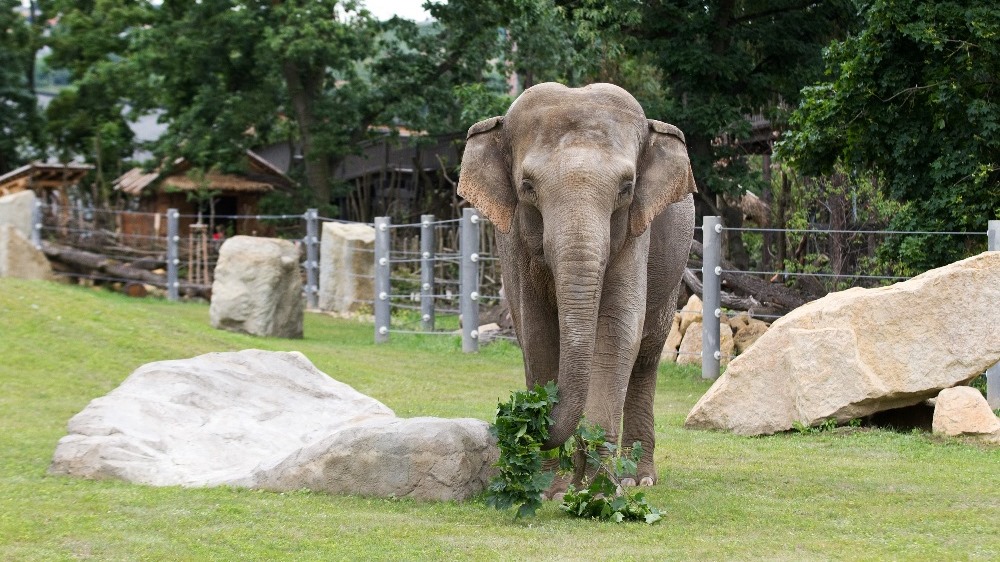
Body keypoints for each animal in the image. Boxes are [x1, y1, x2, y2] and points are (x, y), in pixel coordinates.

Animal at [458, 81, 696, 492]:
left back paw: (637, 479)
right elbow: (537, 332)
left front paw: (600, 488)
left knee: (647, 355)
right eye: (527, 186)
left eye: (626, 188)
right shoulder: (514, 242)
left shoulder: (637, 232)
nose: (513, 419)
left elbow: (617, 329)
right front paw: (552, 488)